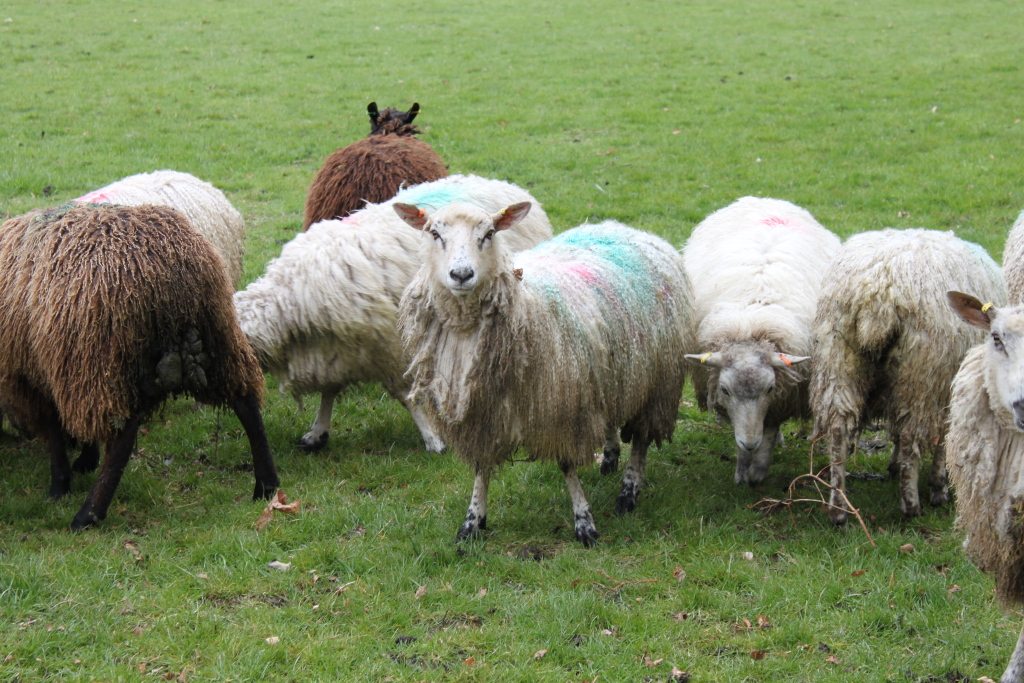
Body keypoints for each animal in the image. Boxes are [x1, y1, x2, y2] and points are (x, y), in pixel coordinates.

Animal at [0, 202, 279, 529]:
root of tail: (170, 263)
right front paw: (83, 462)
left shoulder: (30, 374)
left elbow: (54, 432)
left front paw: (60, 485)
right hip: (218, 333)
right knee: (246, 403)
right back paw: (266, 485)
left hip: (98, 356)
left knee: (123, 434)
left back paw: (88, 514)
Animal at [234, 174, 553, 452]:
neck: (289, 299)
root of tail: (504, 184)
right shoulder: (336, 350)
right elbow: (329, 392)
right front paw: (318, 432)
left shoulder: (389, 345)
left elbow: (405, 395)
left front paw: (433, 438)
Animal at [396, 203, 694, 546]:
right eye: (434, 233)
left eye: (489, 234)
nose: (461, 275)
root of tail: (625, 228)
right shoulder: (483, 413)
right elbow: (482, 465)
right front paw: (472, 522)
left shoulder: (561, 409)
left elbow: (566, 464)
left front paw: (584, 521)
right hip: (609, 371)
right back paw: (609, 456)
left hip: (658, 381)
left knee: (643, 438)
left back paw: (628, 491)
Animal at [682, 197, 841, 485]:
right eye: (724, 390)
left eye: (769, 389)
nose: (749, 443)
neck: (750, 328)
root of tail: (766, 199)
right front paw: (742, 469)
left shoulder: (783, 395)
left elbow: (770, 428)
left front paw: (757, 470)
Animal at [809, 228, 1005, 525]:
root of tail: (877, 296)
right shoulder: (948, 385)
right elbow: (941, 440)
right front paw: (939, 487)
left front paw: (893, 464)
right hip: (922, 373)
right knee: (912, 436)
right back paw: (911, 505)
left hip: (838, 357)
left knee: (838, 430)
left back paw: (838, 509)